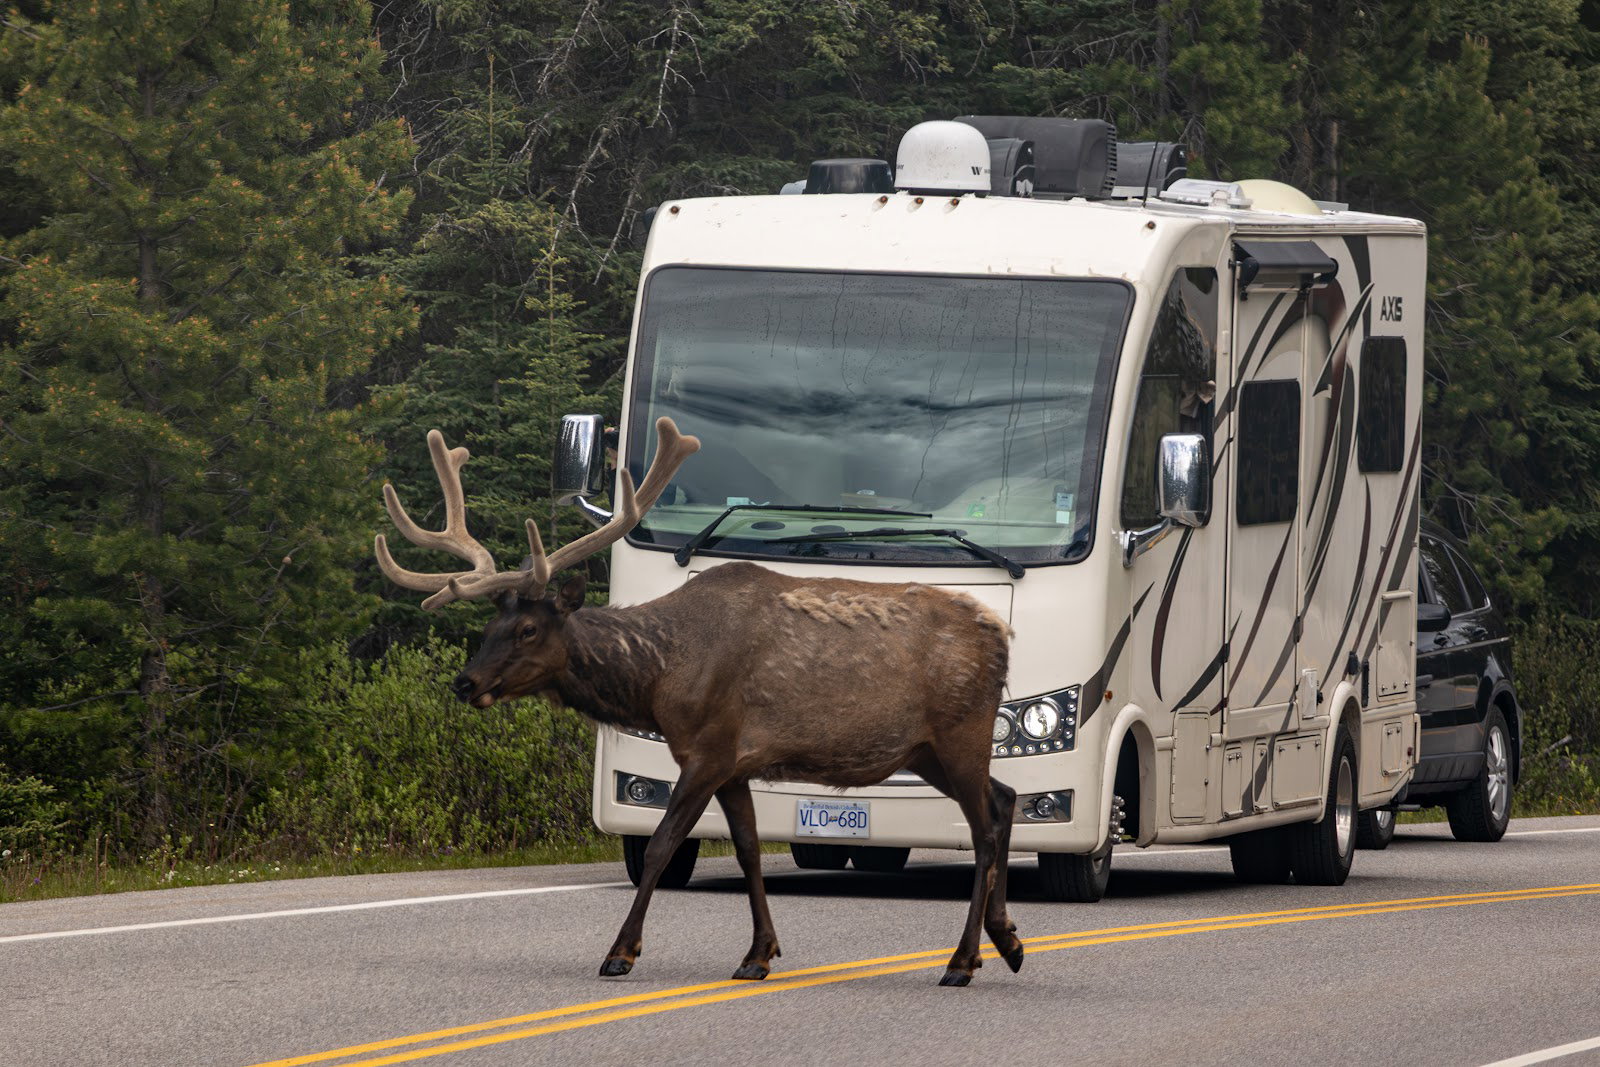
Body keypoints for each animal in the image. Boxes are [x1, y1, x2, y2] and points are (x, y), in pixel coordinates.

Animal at [374, 417, 1024, 987]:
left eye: (529, 629)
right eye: (490, 626)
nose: (465, 682)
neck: (661, 678)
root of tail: (1000, 636)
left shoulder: (707, 749)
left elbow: (663, 845)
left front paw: (621, 952)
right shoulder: (735, 764)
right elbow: (749, 851)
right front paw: (759, 954)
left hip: (961, 731)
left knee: (985, 825)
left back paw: (963, 961)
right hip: (927, 749)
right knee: (1005, 799)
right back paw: (1008, 940)